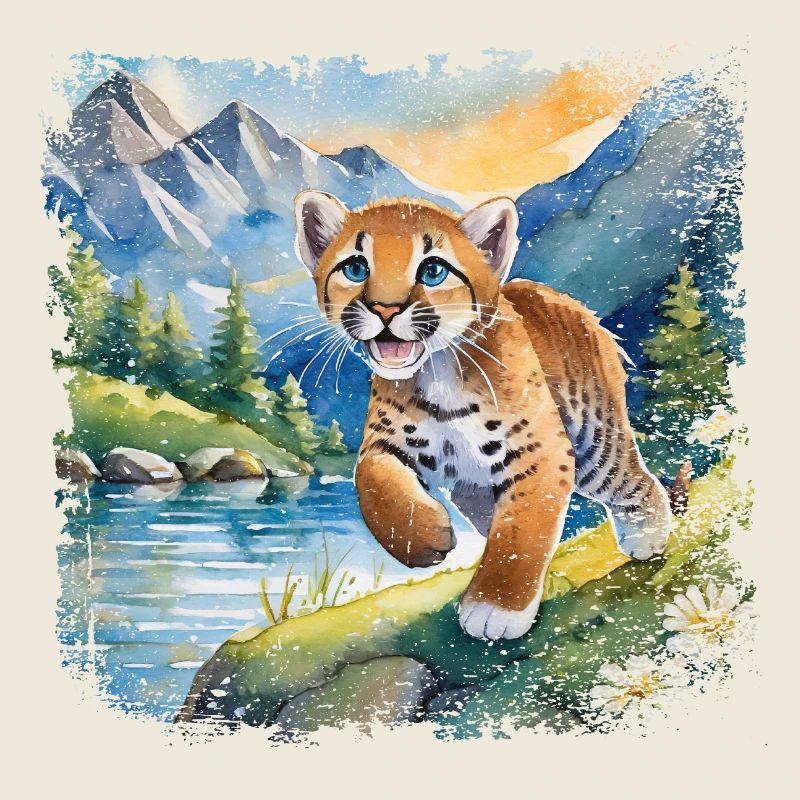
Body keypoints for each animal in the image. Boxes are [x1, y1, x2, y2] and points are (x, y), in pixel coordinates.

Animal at [293, 191, 672, 641]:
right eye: (355, 267)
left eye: (433, 270)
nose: (385, 310)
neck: (438, 372)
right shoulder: (385, 443)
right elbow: (373, 484)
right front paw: (425, 538)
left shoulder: (541, 451)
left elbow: (523, 529)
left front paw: (496, 607)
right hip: (473, 487)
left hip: (594, 443)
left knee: (633, 480)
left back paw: (648, 537)